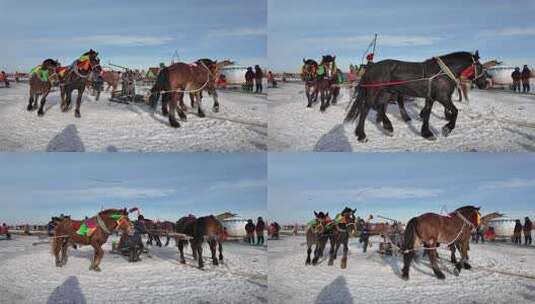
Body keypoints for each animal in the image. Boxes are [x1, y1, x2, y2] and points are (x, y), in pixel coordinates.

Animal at [348, 51, 490, 142]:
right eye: (480, 66)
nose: (486, 83)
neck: (443, 73)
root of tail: (371, 68)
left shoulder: (431, 97)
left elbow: (427, 113)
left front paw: (426, 133)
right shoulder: (442, 97)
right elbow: (455, 111)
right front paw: (447, 128)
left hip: (386, 92)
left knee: (379, 107)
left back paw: (388, 126)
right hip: (374, 91)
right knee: (366, 109)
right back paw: (362, 135)